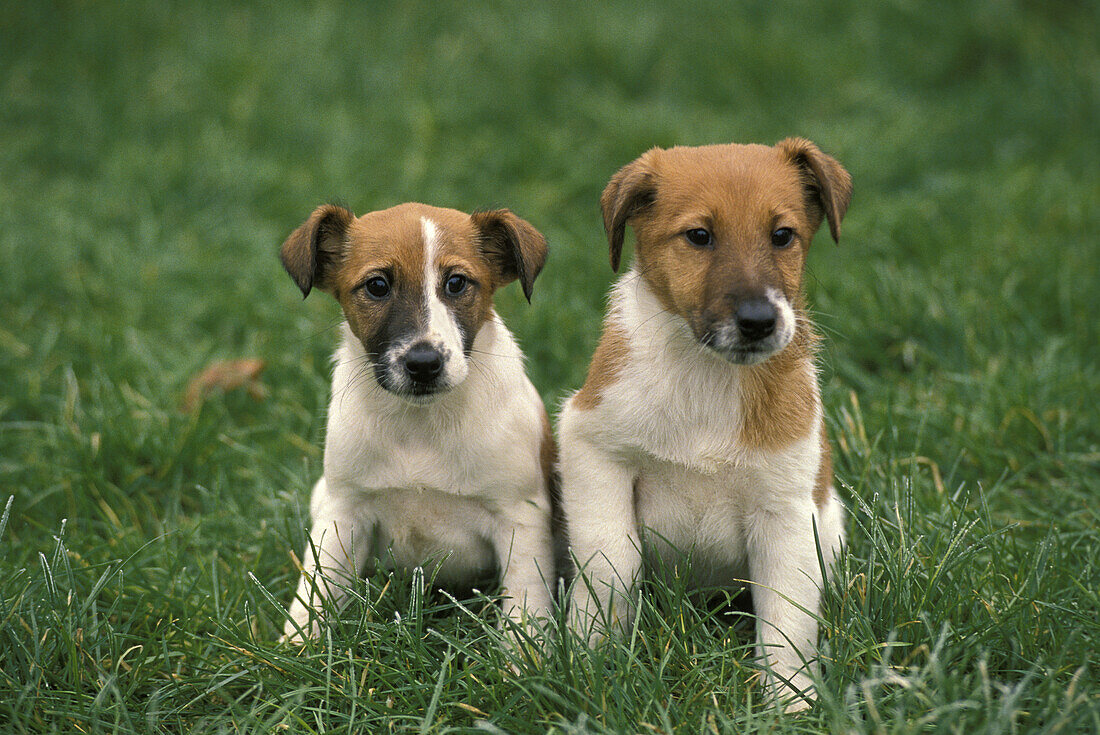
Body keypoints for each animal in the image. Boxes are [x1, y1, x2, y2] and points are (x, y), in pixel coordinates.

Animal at [281, 202, 558, 642]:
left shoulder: (520, 517)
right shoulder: (343, 510)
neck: (420, 425)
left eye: (457, 283)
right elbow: (315, 589)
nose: (424, 364)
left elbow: (525, 601)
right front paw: (297, 645)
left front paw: (524, 654)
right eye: (377, 286)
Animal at [563, 139, 853, 712]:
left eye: (782, 235)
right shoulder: (592, 447)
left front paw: (790, 702)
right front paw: (590, 660)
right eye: (699, 236)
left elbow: (786, 616)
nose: (759, 322)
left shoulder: (785, 507)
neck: (707, 378)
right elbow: (611, 566)